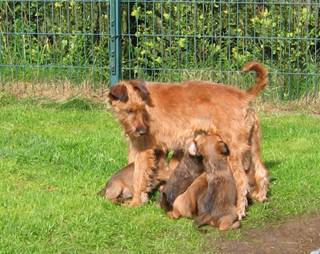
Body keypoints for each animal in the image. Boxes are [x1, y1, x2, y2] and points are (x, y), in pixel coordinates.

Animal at [109, 61, 268, 218]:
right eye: (129, 111)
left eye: (142, 108)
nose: (142, 131)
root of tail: (243, 96)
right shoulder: (140, 148)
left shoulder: (143, 150)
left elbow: (138, 176)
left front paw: (135, 203)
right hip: (253, 146)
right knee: (261, 172)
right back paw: (260, 196)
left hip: (234, 152)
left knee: (242, 182)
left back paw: (240, 210)